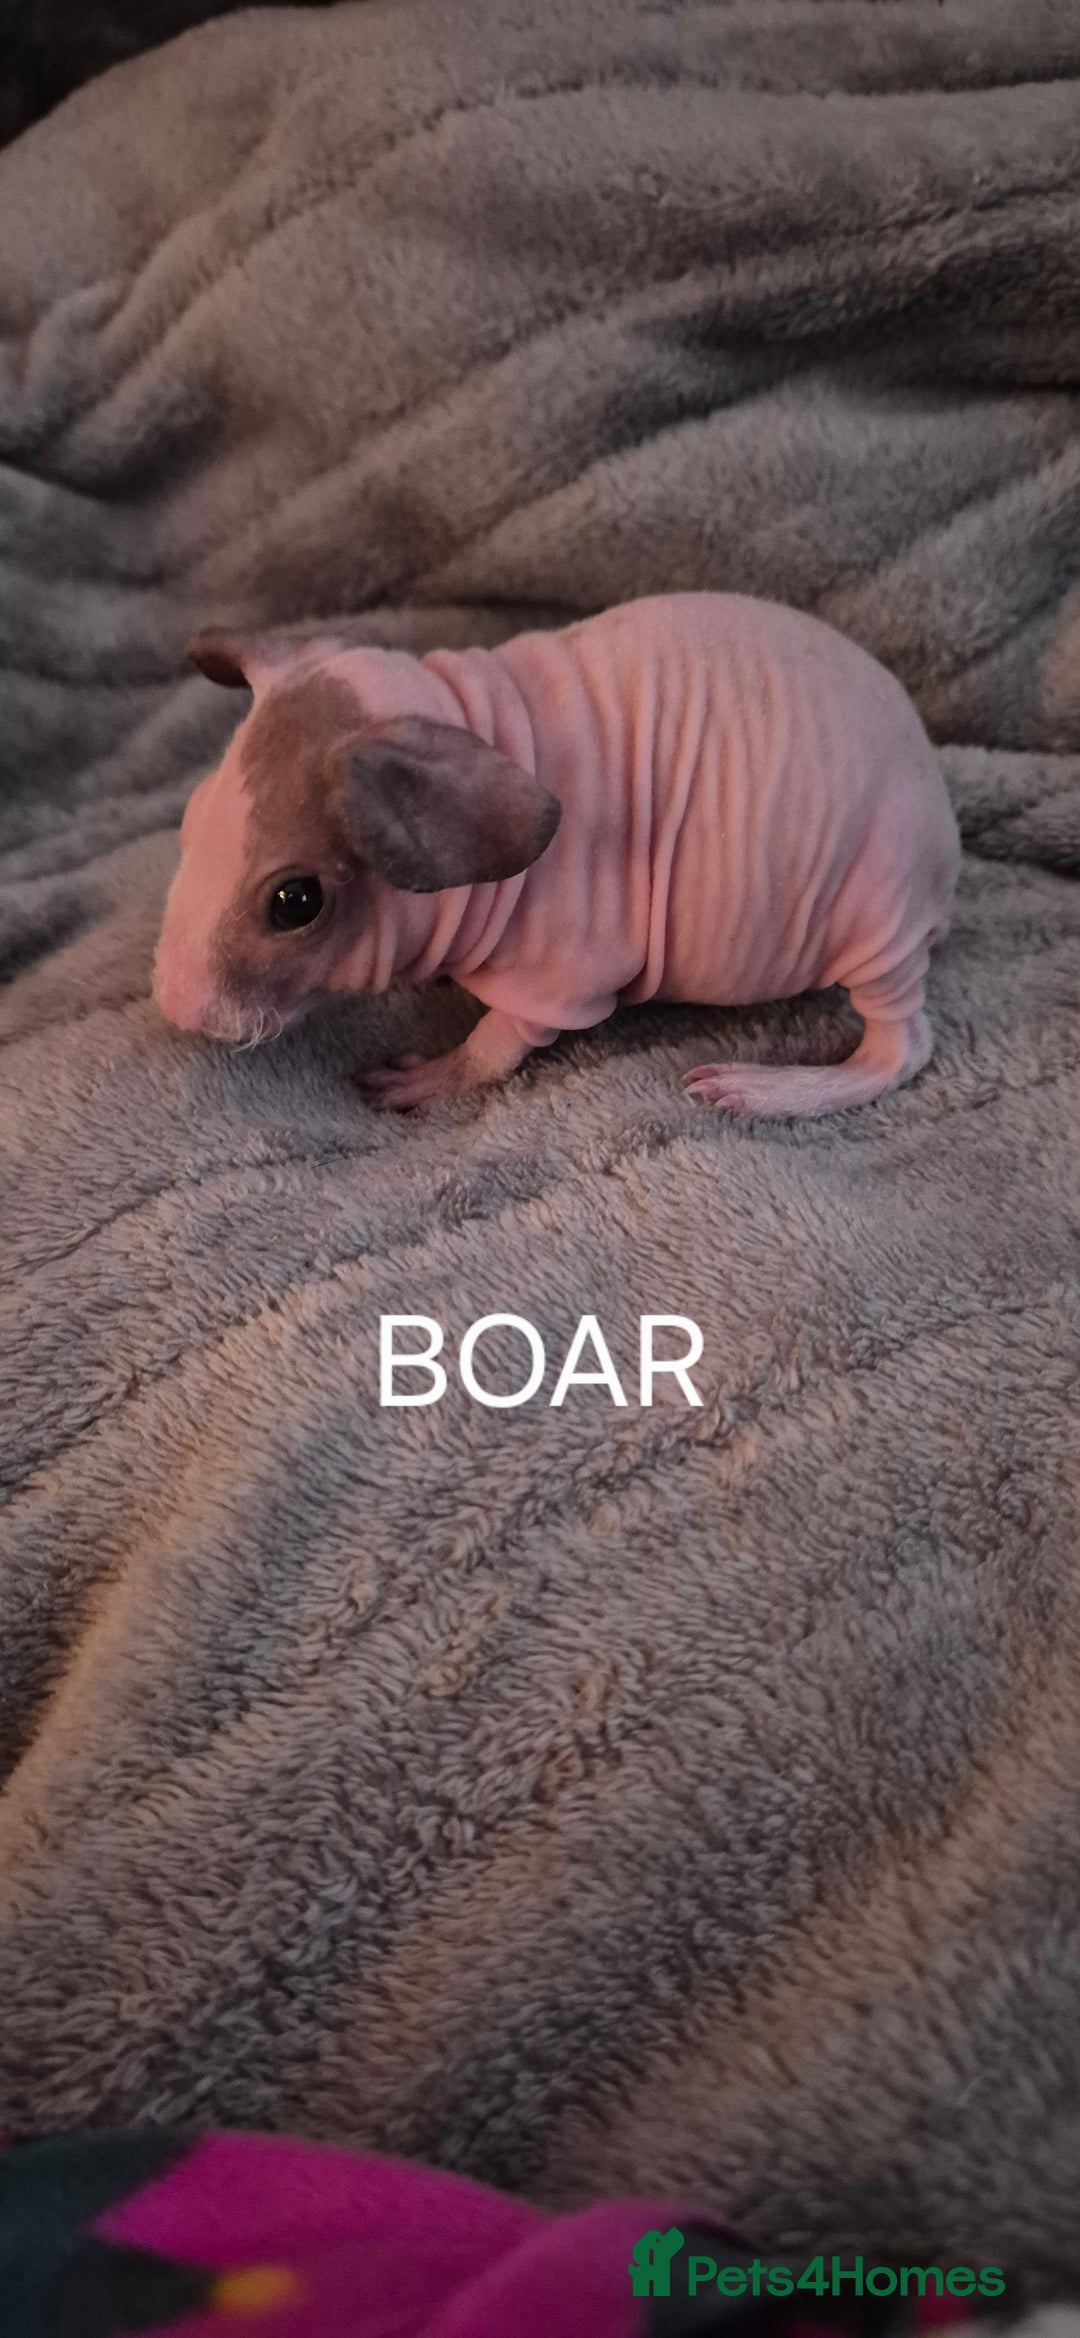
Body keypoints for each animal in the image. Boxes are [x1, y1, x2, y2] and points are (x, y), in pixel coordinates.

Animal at [153, 593, 960, 1119]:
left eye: (296, 902)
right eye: (189, 824)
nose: (173, 1003)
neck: (479, 725)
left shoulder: (567, 964)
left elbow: (503, 1040)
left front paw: (437, 1076)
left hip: (878, 902)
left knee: (903, 1048)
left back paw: (769, 1091)